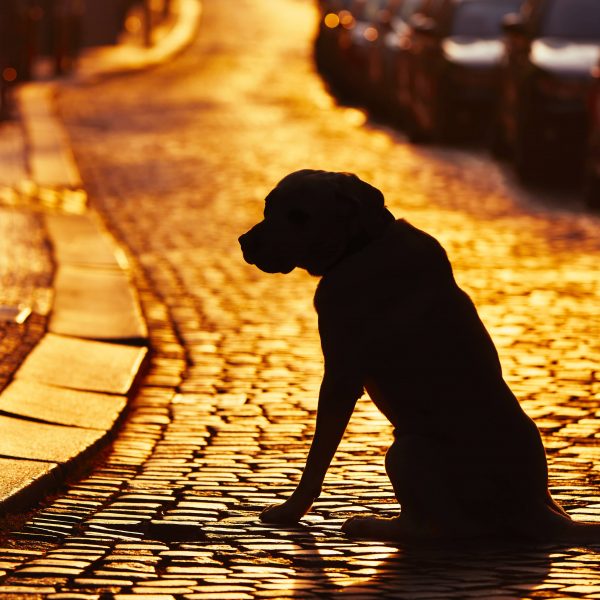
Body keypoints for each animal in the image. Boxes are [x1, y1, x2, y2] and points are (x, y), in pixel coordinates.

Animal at [240, 169, 600, 544]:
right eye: (268, 207)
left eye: (299, 216)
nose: (244, 243)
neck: (361, 245)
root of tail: (536, 509)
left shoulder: (340, 377)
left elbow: (316, 460)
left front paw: (288, 512)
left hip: (406, 449)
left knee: (437, 528)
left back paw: (370, 525)